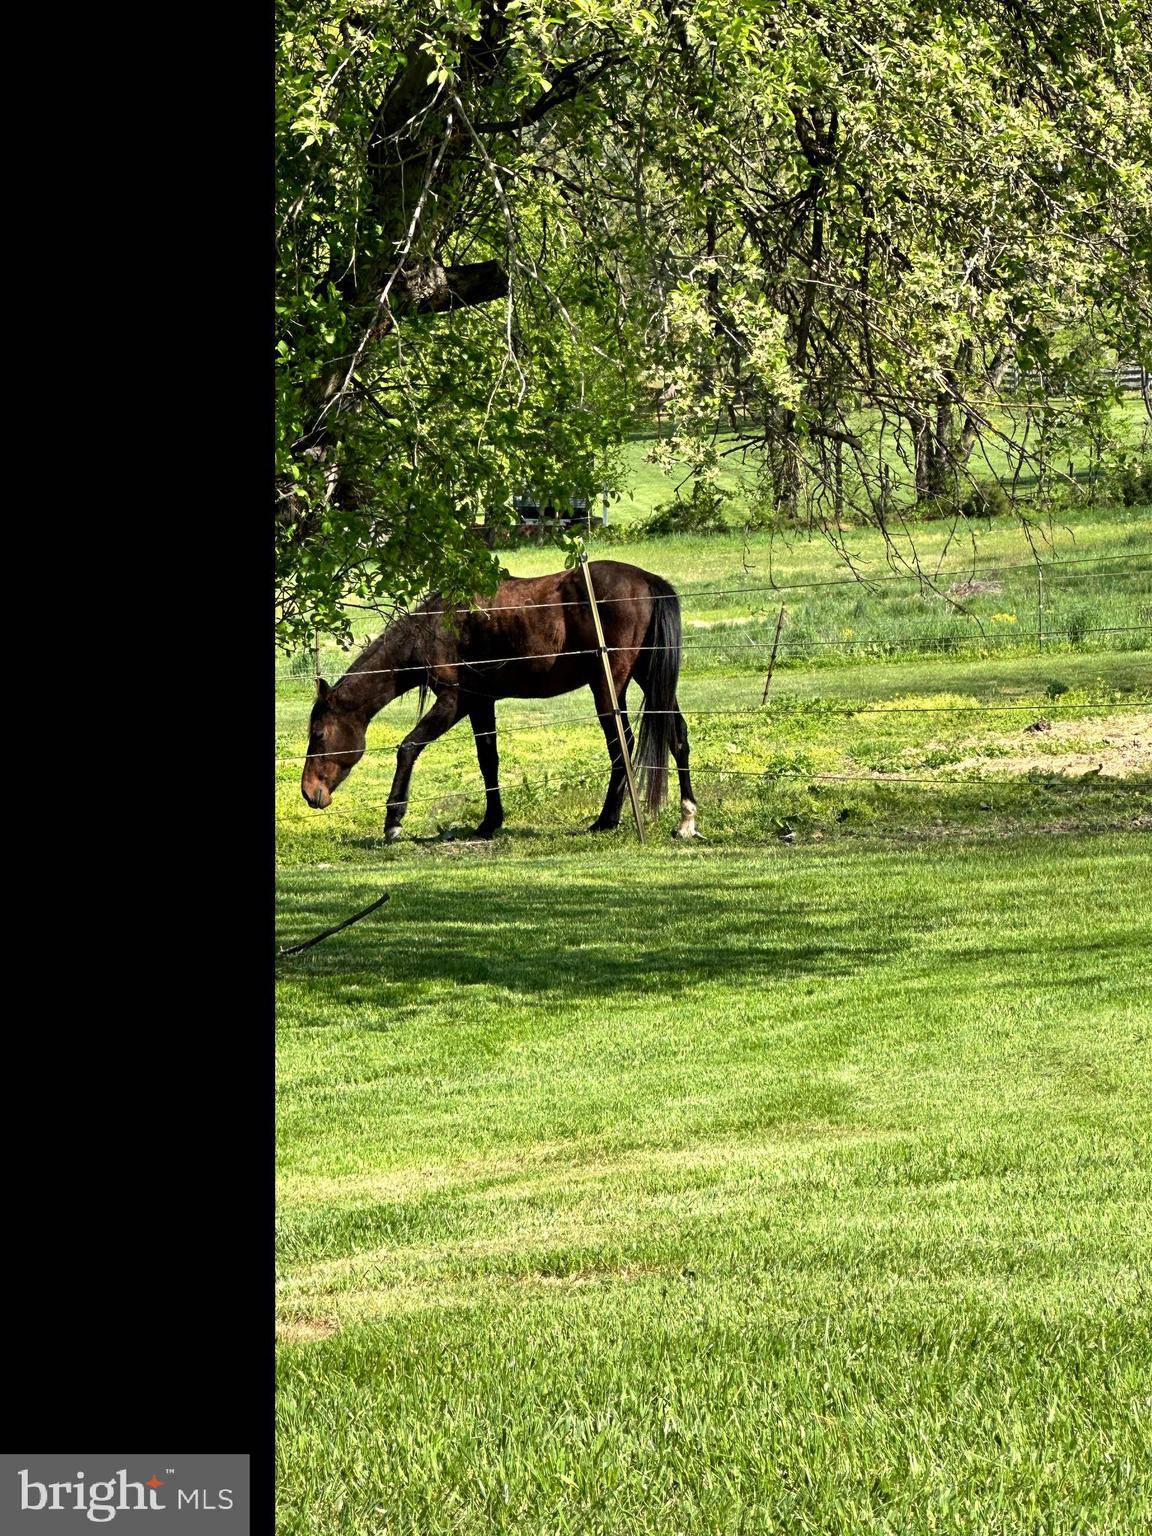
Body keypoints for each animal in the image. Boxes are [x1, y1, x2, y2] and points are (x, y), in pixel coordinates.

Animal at [297, 559, 700, 835]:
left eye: (318, 734)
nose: (309, 792)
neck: (439, 625)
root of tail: (649, 582)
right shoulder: (481, 703)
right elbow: (487, 760)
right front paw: (490, 822)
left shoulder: (454, 702)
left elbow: (408, 747)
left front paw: (394, 819)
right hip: (653, 681)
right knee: (677, 737)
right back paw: (686, 820)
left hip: (608, 686)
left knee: (622, 745)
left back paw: (607, 819)